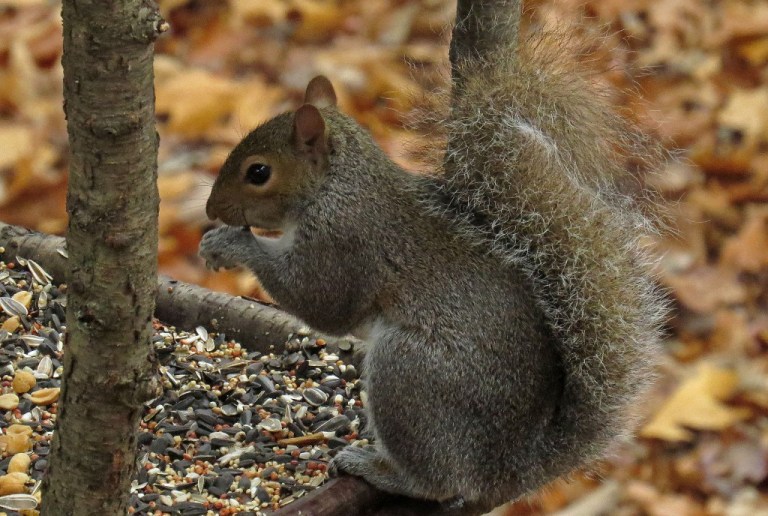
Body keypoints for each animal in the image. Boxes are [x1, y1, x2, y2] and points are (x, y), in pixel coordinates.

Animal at [200, 0, 665, 512]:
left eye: (258, 173)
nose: (210, 209)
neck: (338, 187)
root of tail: (509, 470)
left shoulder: (345, 244)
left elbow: (322, 304)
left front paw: (229, 244)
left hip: (410, 375)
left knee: (439, 482)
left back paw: (378, 468)